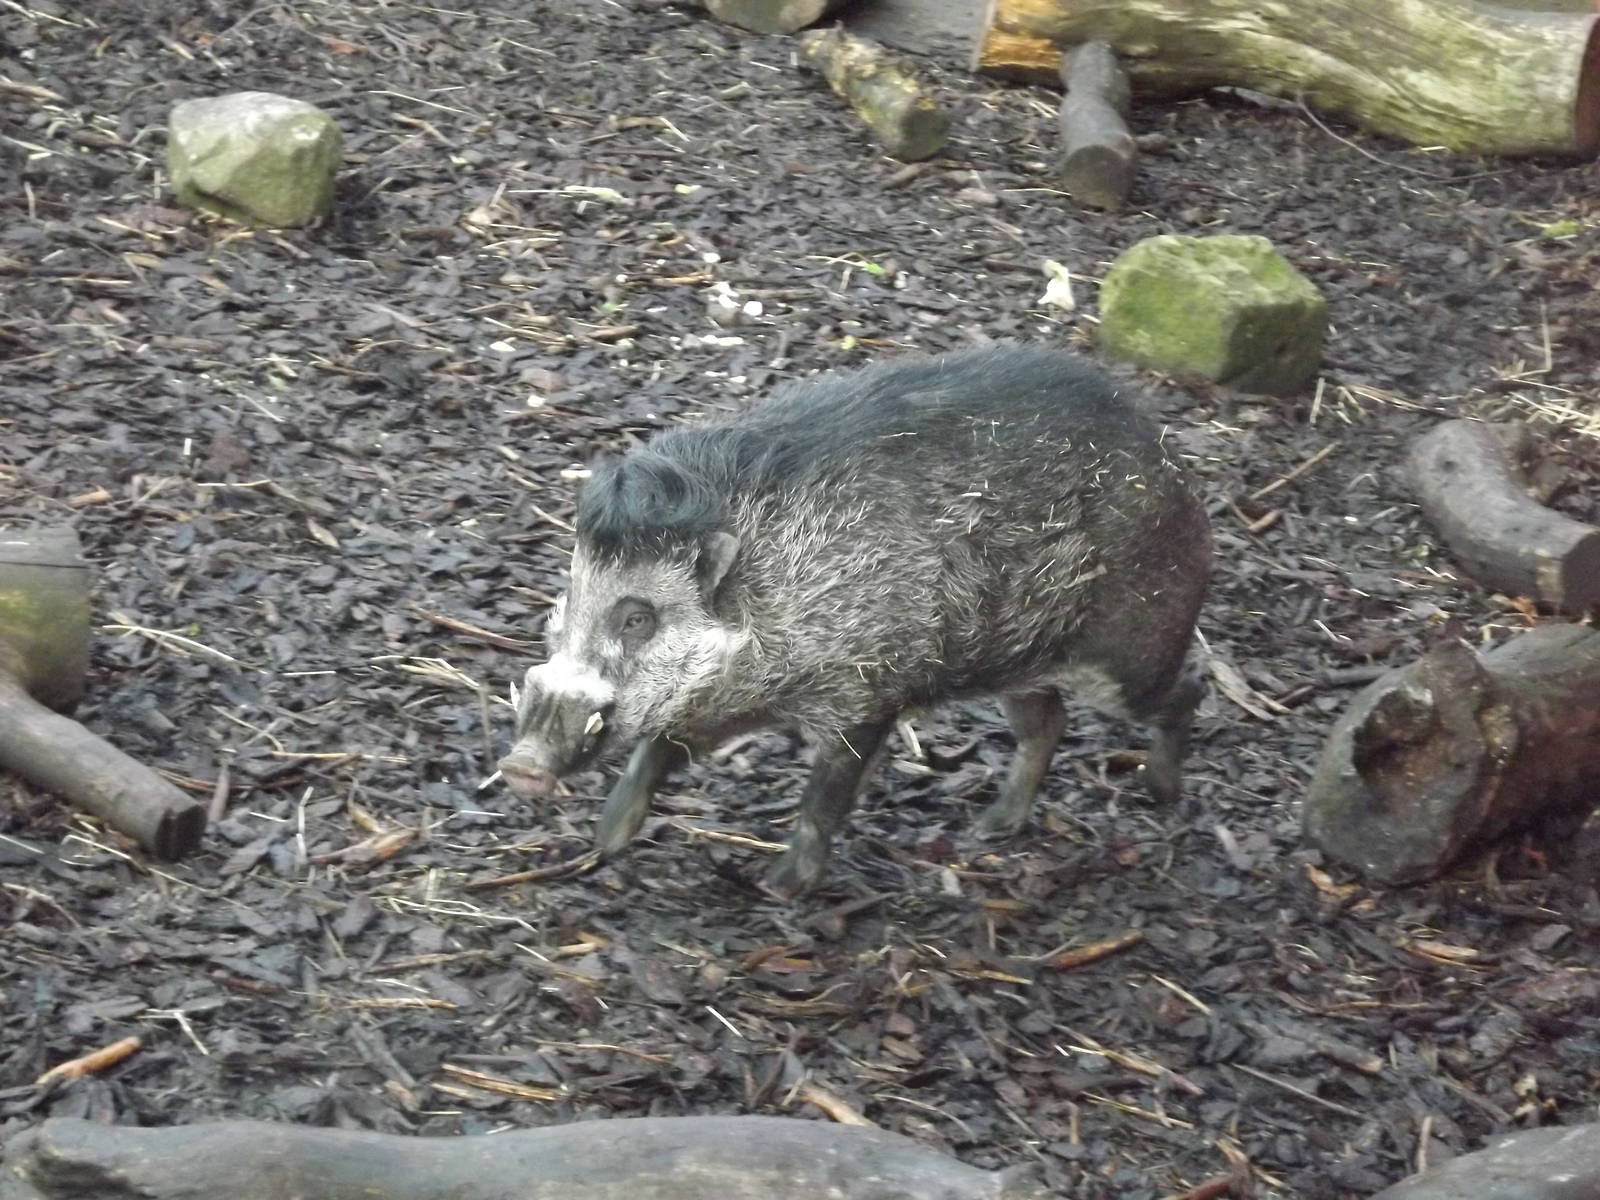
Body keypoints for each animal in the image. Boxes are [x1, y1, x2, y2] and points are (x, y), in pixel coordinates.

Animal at [499, 345, 1211, 897]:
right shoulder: (712, 704)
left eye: (637, 619)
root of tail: (1171, 461)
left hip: (1129, 654)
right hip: (1016, 663)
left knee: (1186, 690)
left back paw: (1161, 792)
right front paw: (605, 843)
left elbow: (824, 798)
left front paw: (780, 890)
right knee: (1048, 724)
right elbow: (653, 753)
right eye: (569, 596)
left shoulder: (866, 698)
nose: (520, 766)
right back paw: (986, 829)